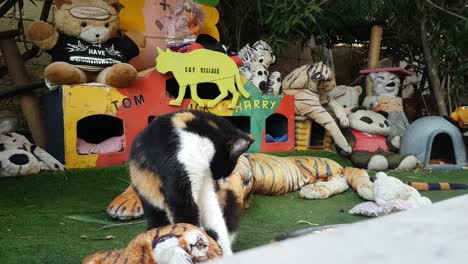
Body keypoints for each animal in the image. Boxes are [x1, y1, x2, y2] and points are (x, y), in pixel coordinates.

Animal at [128, 109, 254, 256]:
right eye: (227, 168)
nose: (218, 179)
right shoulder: (180, 186)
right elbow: (188, 222)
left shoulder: (205, 186)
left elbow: (215, 220)